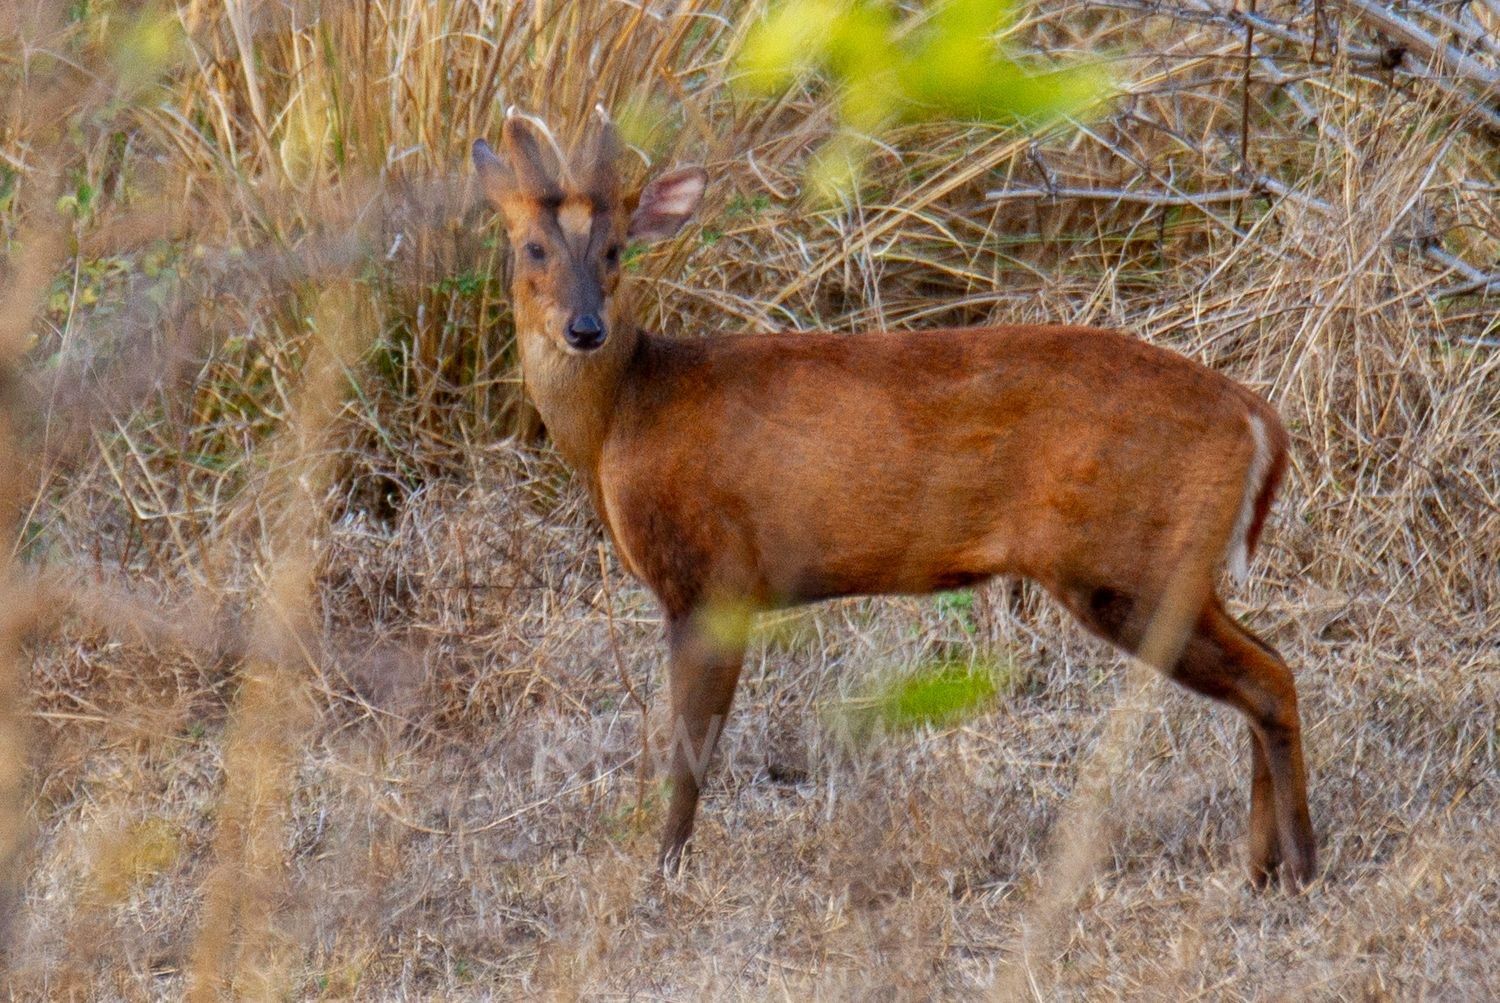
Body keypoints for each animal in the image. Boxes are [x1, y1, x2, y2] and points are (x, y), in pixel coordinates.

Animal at [470, 108, 1317, 889]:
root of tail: (1255, 414)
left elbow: (691, 747)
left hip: (1123, 560)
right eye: (531, 247)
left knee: (1267, 680)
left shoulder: (709, 576)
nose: (585, 327)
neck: (625, 413)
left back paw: (1301, 863)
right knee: (1271, 664)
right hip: (1168, 563)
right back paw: (1263, 863)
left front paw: (663, 870)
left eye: (615, 248)